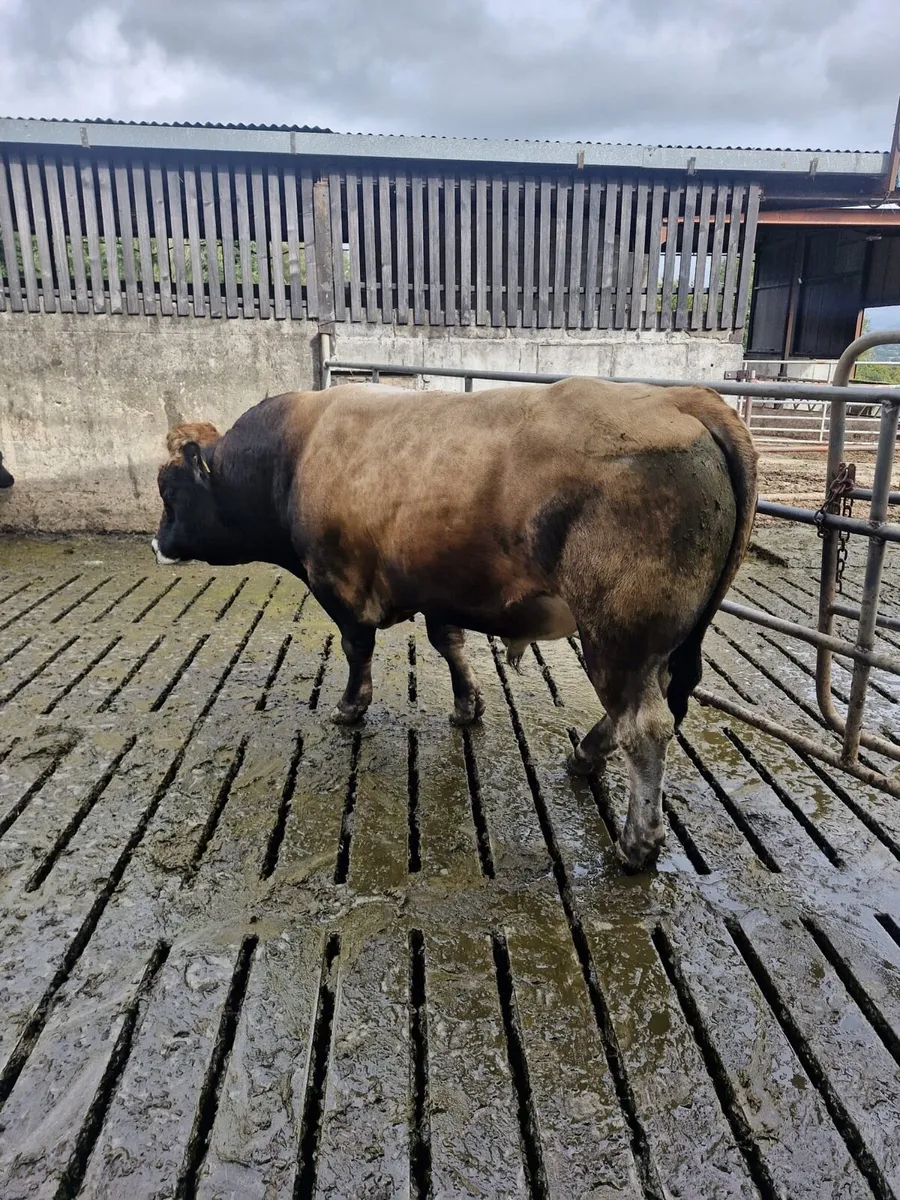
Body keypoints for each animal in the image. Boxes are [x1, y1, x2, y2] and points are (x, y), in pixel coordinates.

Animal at [152, 380, 757, 869]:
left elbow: (356, 649)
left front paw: (350, 706)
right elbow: (449, 644)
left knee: (645, 725)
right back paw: (585, 755)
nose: (157, 543)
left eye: (169, 490)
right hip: (653, 644)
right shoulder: (438, 590)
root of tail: (676, 397)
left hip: (618, 635)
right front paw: (468, 705)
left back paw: (636, 842)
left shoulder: (340, 588)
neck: (295, 453)